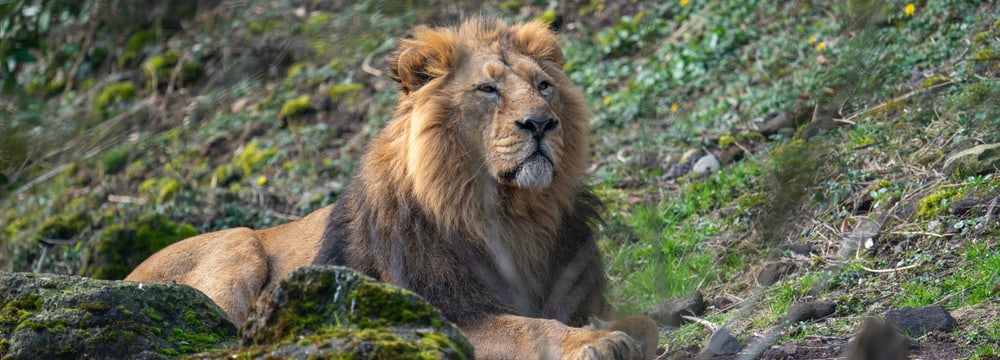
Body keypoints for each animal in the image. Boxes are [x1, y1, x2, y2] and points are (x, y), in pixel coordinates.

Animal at [125, 16, 656, 360]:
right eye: (488, 90)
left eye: (543, 85)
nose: (541, 124)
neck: (513, 214)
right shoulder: (441, 314)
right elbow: (529, 330)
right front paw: (593, 343)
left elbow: (644, 323)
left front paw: (613, 331)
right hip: (237, 245)